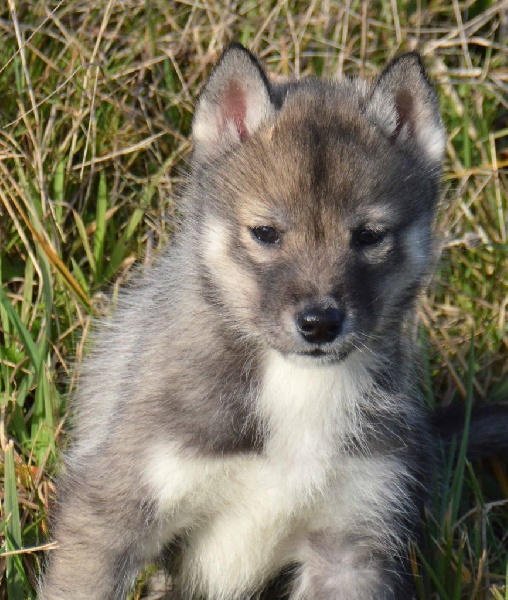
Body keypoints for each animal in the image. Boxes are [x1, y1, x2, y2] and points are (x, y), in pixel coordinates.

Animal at [41, 44, 446, 596]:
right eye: (265, 233)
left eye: (368, 235)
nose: (320, 324)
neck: (297, 388)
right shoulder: (117, 507)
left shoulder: (350, 544)